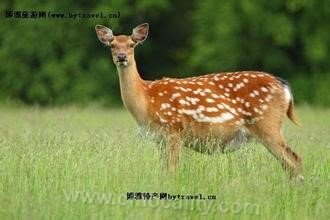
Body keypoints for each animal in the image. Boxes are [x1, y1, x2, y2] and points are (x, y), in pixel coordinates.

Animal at [94, 22, 302, 180]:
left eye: (131, 44)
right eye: (112, 45)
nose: (122, 57)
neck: (146, 100)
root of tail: (284, 86)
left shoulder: (174, 130)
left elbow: (171, 170)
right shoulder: (159, 139)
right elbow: (163, 170)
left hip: (268, 125)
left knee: (294, 160)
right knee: (290, 162)